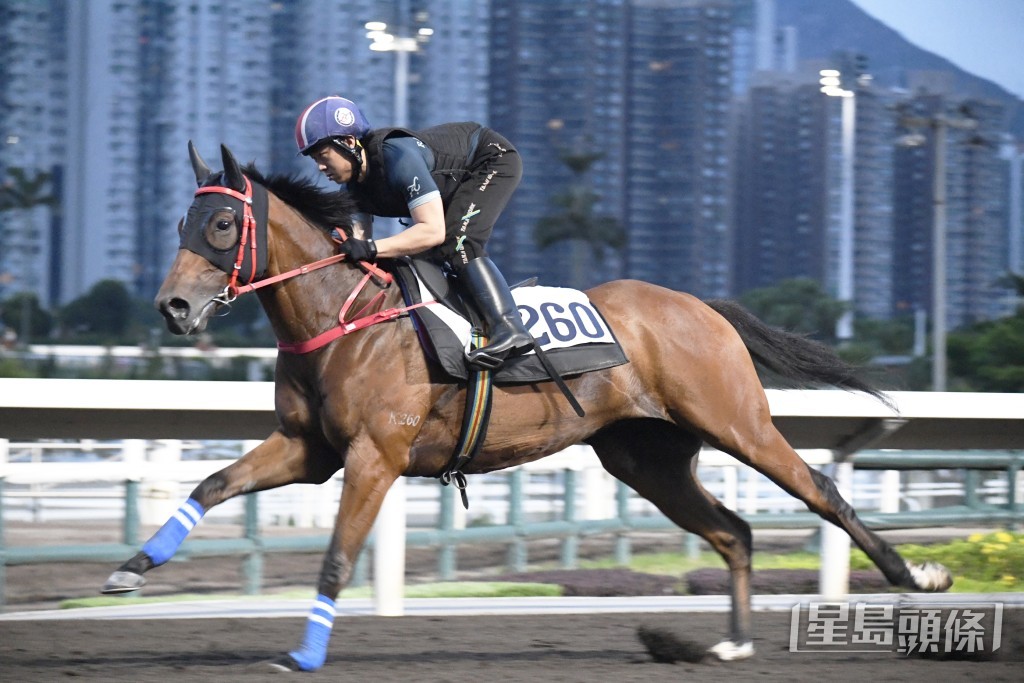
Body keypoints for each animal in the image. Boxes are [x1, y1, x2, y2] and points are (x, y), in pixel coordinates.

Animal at [103, 143, 952, 672]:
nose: (173, 306)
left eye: (221, 224)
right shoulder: (310, 450)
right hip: (647, 457)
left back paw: (918, 575)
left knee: (824, 491)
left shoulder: (375, 455)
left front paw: (304, 654)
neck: (345, 315)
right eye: (181, 222)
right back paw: (729, 646)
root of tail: (699, 306)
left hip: (737, 421)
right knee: (734, 531)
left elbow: (337, 554)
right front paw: (131, 569)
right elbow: (212, 483)